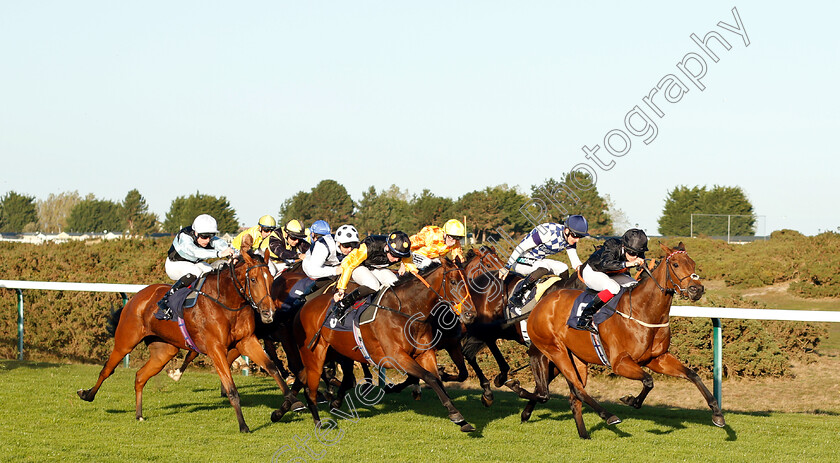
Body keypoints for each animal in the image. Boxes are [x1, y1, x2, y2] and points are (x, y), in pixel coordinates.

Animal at [74, 248, 298, 434]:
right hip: (125, 341)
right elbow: (232, 389)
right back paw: (87, 394)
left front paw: (291, 403)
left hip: (164, 351)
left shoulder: (246, 341)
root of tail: (138, 296)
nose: (269, 312)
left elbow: (272, 368)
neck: (226, 302)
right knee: (107, 369)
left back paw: (138, 414)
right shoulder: (216, 349)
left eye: (271, 279)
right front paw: (243, 426)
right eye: (252, 279)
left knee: (140, 376)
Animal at [278, 260, 480, 434]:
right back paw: (318, 422)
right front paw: (455, 414)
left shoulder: (425, 354)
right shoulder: (397, 357)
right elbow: (429, 377)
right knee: (310, 389)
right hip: (315, 355)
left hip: (333, 352)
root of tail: (304, 306)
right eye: (453, 282)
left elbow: (436, 379)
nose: (471, 314)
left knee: (303, 376)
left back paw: (282, 410)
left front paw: (460, 418)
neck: (407, 311)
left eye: (468, 281)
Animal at [520, 245, 724, 440]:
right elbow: (648, 380)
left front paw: (717, 414)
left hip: (577, 358)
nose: (696, 289)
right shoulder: (620, 363)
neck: (643, 311)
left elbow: (692, 375)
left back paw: (584, 434)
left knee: (571, 394)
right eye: (675, 264)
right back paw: (608, 416)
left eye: (693, 264)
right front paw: (631, 400)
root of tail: (541, 302)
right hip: (555, 350)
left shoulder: (657, 359)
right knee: (568, 389)